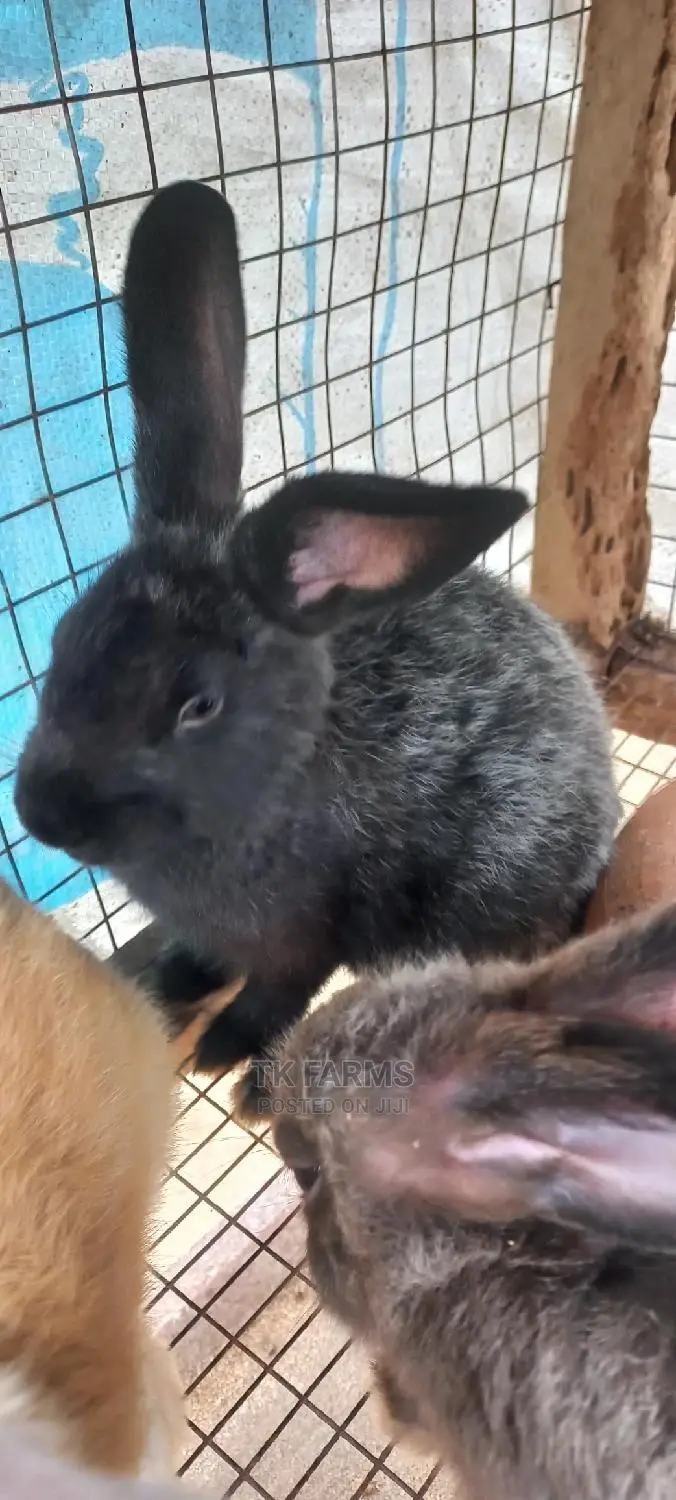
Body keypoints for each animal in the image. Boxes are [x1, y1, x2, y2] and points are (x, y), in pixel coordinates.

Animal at [14, 179, 619, 1116]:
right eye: (64, 636)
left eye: (198, 703)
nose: (42, 815)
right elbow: (206, 958)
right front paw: (173, 982)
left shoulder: (303, 938)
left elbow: (278, 994)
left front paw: (232, 1060)